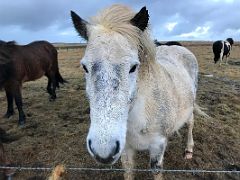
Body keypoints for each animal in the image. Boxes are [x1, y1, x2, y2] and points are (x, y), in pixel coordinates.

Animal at [71, 4, 206, 180]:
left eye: (134, 67)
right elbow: (128, 170)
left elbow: (156, 171)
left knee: (190, 123)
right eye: (85, 67)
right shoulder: (125, 149)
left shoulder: (157, 146)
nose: (103, 150)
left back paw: (189, 149)